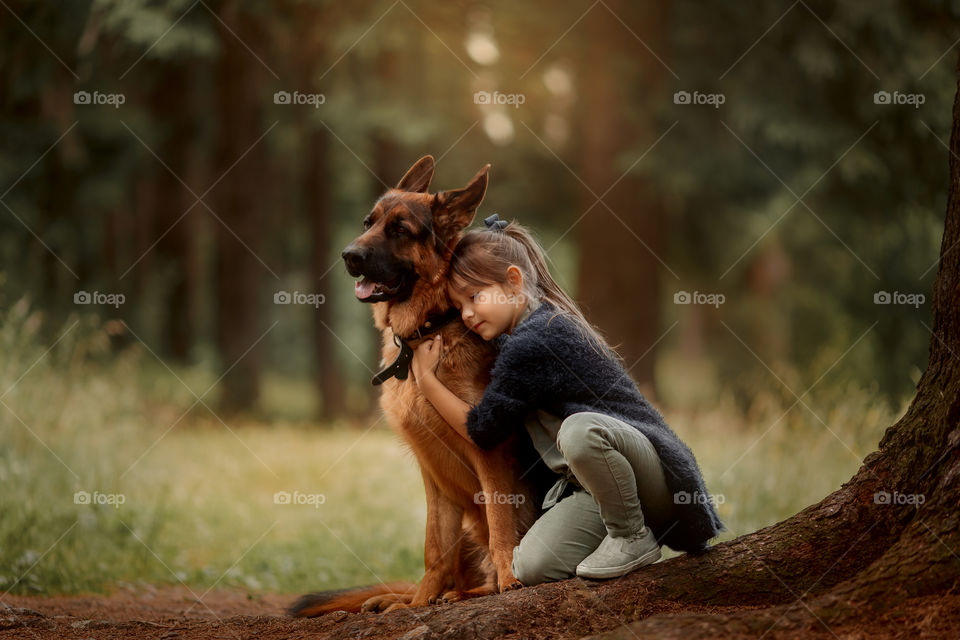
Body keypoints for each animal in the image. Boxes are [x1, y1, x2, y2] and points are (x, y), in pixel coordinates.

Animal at [290, 154, 548, 616]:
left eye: (400, 230)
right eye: (368, 222)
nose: (348, 255)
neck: (427, 330)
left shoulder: (490, 456)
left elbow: (501, 527)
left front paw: (508, 578)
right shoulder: (432, 474)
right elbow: (433, 547)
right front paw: (420, 601)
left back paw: (468, 590)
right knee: (451, 571)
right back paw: (414, 597)